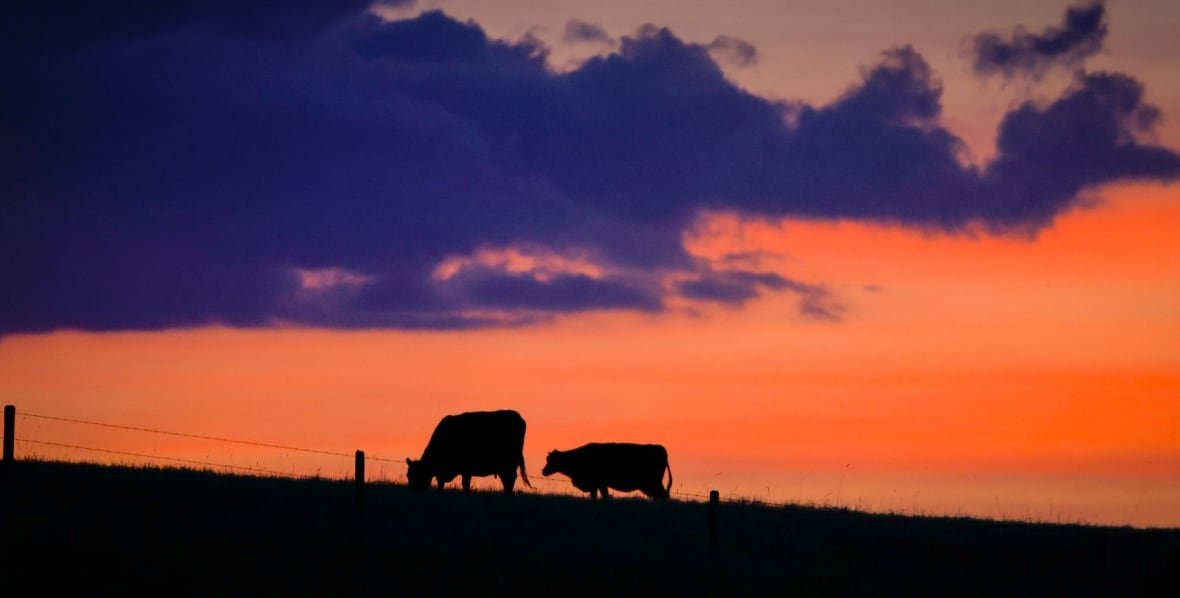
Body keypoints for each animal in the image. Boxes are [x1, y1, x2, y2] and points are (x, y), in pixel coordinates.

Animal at [542, 445, 674, 500]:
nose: (543, 471)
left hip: (653, 483)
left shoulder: (598, 484)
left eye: (551, 460)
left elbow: (602, 495)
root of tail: (662, 450)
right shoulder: (599, 485)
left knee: (663, 495)